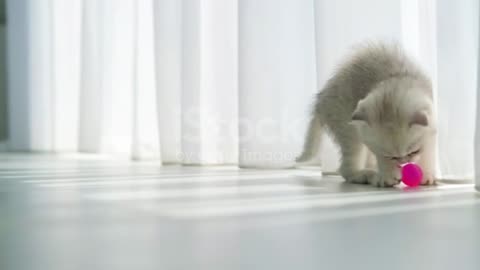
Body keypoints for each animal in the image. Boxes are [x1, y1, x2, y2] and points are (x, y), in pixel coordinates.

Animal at [296, 43, 436, 188]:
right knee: (346, 169)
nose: (402, 162)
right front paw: (387, 177)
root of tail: (320, 102)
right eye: (390, 156)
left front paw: (426, 176)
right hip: (348, 128)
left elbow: (427, 153)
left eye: (414, 151)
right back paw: (365, 175)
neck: (396, 77)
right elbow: (382, 159)